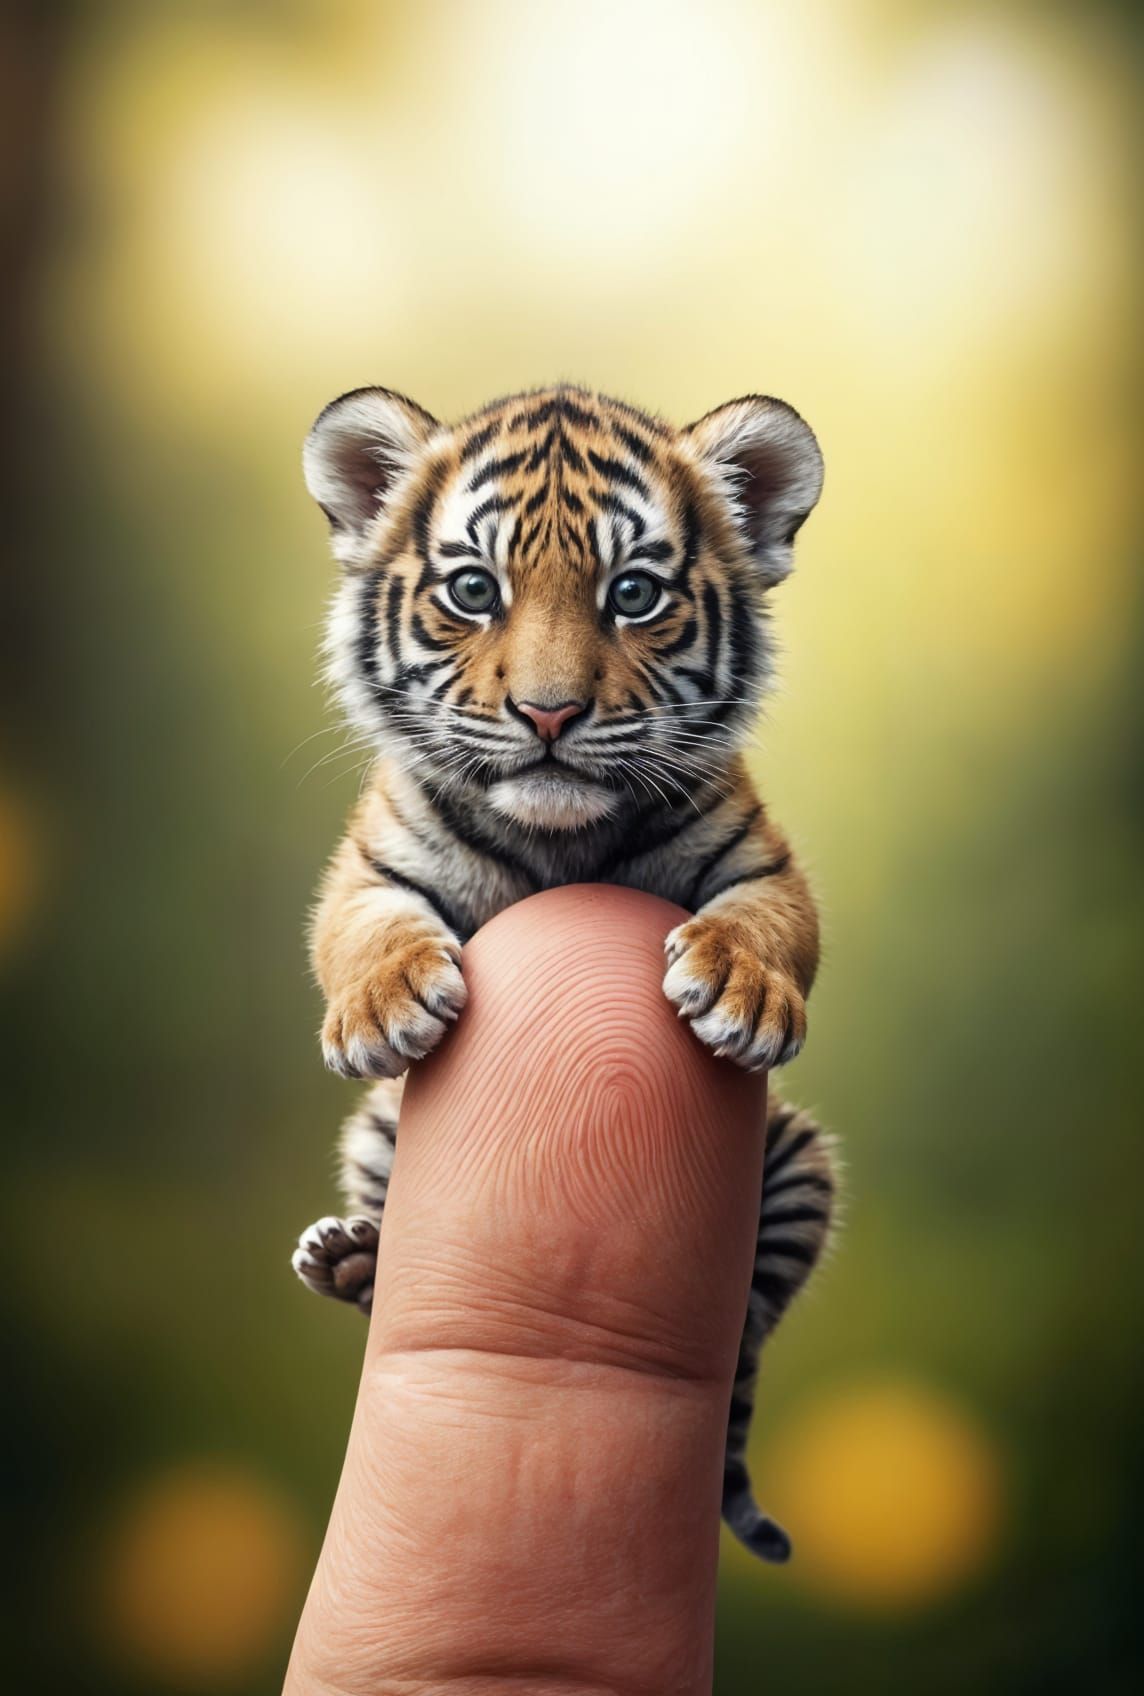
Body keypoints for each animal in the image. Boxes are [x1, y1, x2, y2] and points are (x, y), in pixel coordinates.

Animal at [290, 383, 838, 1564]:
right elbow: (363, 928)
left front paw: (739, 995)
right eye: (472, 591)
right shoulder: (371, 864)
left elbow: (766, 921)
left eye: (632, 594)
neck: (559, 839)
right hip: (374, 1140)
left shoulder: (762, 862)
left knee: (750, 1327)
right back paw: (354, 1261)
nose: (548, 714)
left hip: (801, 1165)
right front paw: (386, 1009)